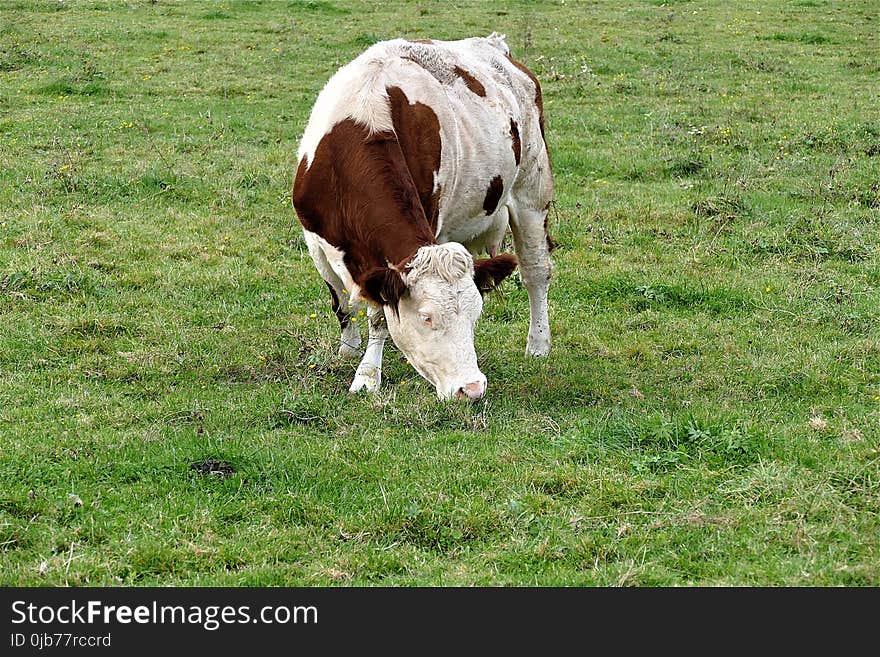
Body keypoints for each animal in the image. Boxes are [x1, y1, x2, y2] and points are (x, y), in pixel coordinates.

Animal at [296, 33, 556, 402]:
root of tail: (495, 47)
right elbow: (341, 301)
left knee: (535, 272)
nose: (472, 388)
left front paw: (367, 376)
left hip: (532, 193)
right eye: (426, 317)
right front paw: (349, 349)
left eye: (475, 315)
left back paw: (538, 345)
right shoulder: (316, 240)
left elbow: (379, 315)